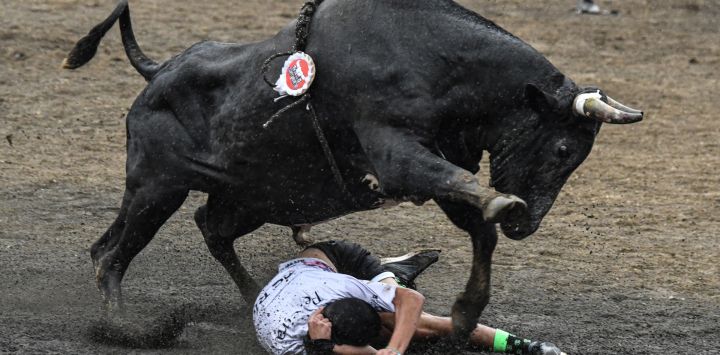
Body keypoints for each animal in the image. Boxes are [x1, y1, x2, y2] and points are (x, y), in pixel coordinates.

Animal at [64, 0, 644, 340]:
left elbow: (479, 226)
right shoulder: (396, 155)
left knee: (202, 230)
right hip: (156, 189)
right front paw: (502, 205)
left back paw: (249, 297)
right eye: (564, 149)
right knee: (112, 255)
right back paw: (121, 327)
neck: (436, 61)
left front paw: (465, 314)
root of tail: (158, 70)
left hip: (248, 197)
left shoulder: (435, 168)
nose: (529, 225)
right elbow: (469, 193)